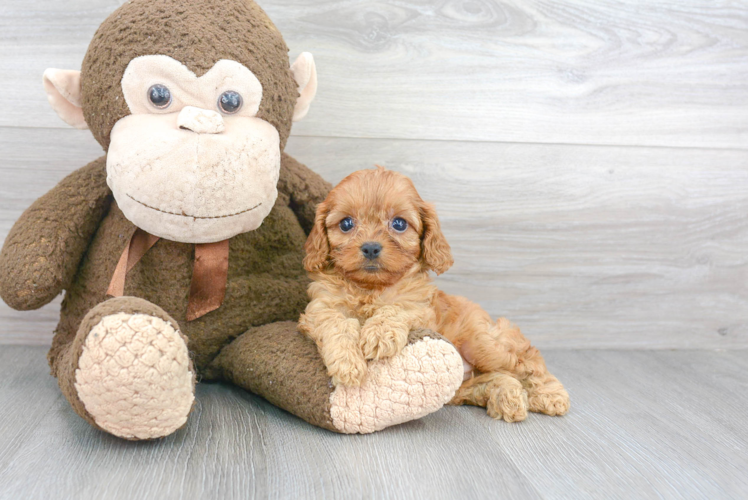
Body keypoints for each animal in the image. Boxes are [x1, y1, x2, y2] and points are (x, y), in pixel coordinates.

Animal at [298, 167, 568, 422]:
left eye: (398, 223)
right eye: (346, 224)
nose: (371, 248)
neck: (370, 287)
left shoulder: (419, 307)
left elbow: (395, 309)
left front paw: (379, 335)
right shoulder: (320, 307)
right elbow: (337, 324)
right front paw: (347, 363)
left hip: (483, 344)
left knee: (527, 359)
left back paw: (550, 395)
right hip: (464, 384)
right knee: (499, 377)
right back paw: (508, 399)